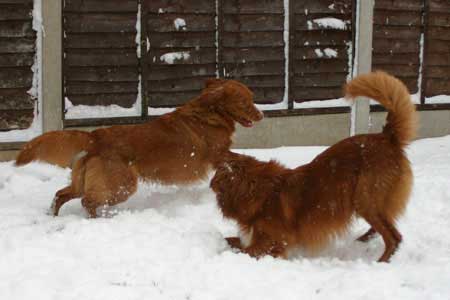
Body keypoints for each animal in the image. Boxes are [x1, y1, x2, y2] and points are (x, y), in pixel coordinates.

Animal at [16, 78, 264, 217]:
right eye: (245, 102)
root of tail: (95, 136)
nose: (262, 115)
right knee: (88, 201)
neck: (209, 113)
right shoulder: (217, 153)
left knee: (62, 194)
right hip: (122, 185)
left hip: (84, 182)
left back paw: (53, 215)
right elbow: (239, 157)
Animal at [211, 71, 418, 262]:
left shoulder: (272, 242)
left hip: (366, 198)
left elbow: (243, 251)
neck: (258, 191)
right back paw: (360, 242)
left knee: (394, 237)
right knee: (382, 230)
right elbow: (231, 240)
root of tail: (387, 137)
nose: (211, 184)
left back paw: (380, 262)